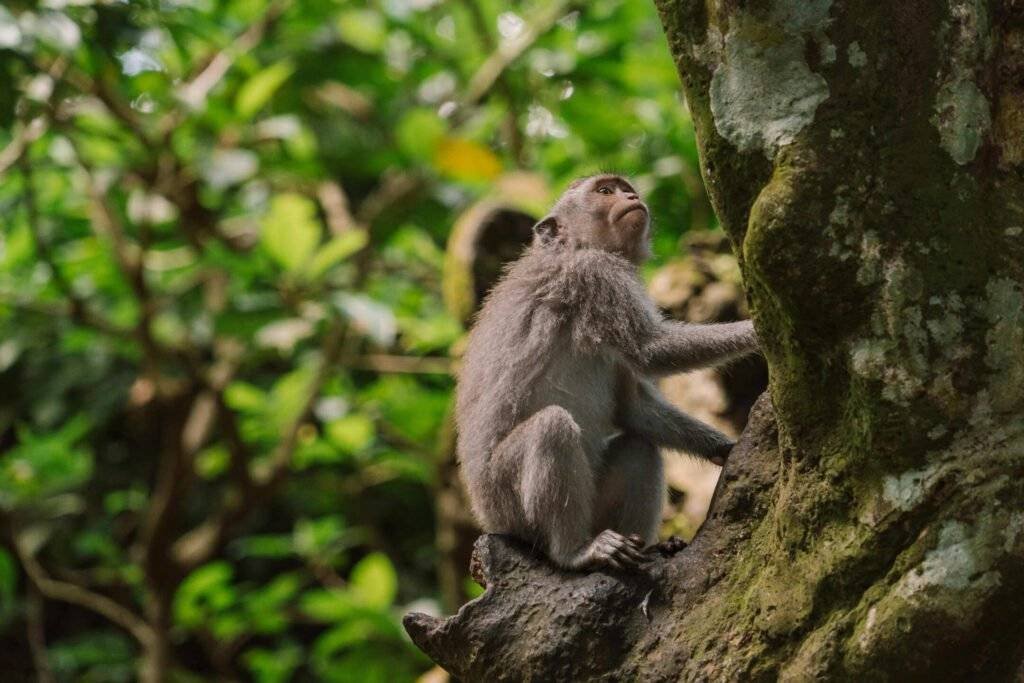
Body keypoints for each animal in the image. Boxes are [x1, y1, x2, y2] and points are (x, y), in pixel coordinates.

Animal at [455, 174, 759, 572]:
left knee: (639, 447)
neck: (573, 247)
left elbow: (632, 410)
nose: (632, 197)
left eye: (626, 189)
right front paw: (758, 330)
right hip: (506, 502)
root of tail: (488, 522)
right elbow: (652, 349)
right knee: (551, 427)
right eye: (604, 191)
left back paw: (648, 549)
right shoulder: (596, 276)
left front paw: (724, 447)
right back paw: (574, 552)